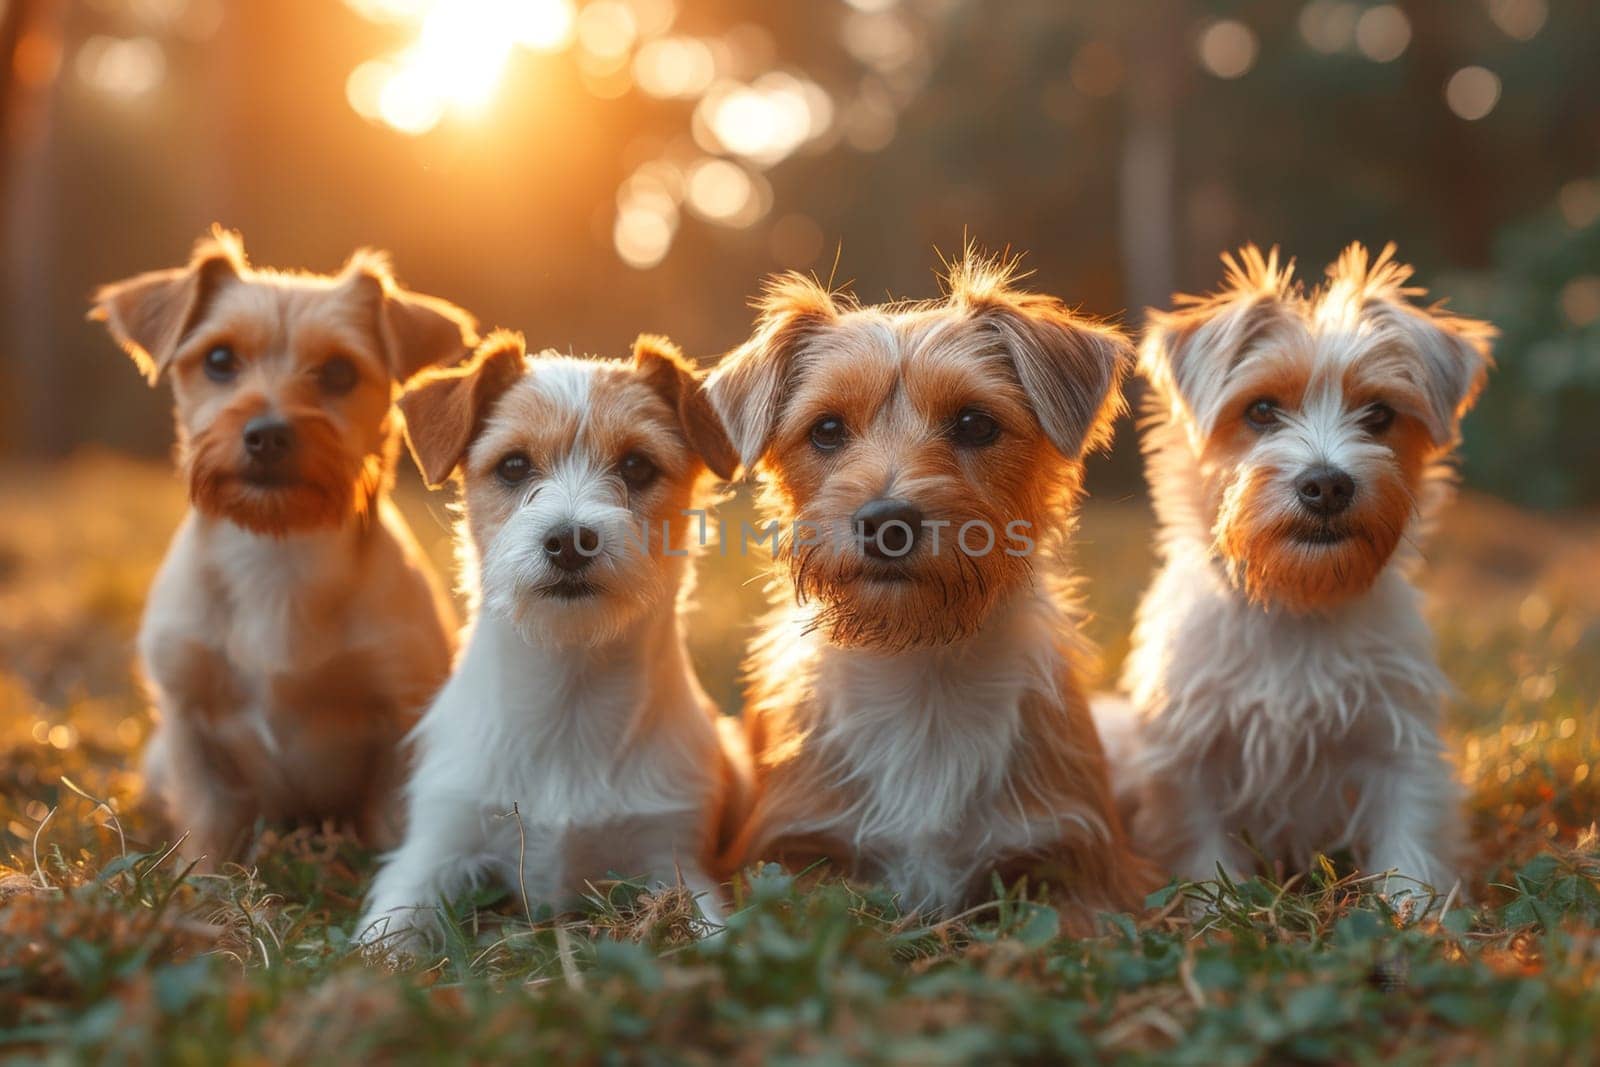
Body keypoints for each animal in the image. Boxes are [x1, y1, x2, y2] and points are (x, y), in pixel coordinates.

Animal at [91, 230, 473, 863]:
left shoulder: (401, 711)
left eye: (340, 372)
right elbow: (208, 826)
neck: (277, 551)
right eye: (219, 360)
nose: (267, 433)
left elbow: (393, 822)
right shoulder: (188, 720)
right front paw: (203, 884)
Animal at [356, 331, 742, 953]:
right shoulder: (431, 852)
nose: (569, 540)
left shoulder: (676, 861)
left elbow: (712, 935)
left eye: (637, 465)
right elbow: (384, 937)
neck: (569, 688)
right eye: (514, 465)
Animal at [710, 252, 1152, 934]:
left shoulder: (1082, 866)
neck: (922, 672)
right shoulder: (788, 853)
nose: (886, 521)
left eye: (974, 423)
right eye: (827, 430)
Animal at [1100, 241, 1484, 895]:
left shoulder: (1397, 741)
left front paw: (1418, 916)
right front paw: (1212, 910)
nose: (1327, 484)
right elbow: (1203, 853)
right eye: (1261, 410)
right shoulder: (1189, 755)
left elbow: (1408, 844)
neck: (1294, 602)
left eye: (1378, 414)